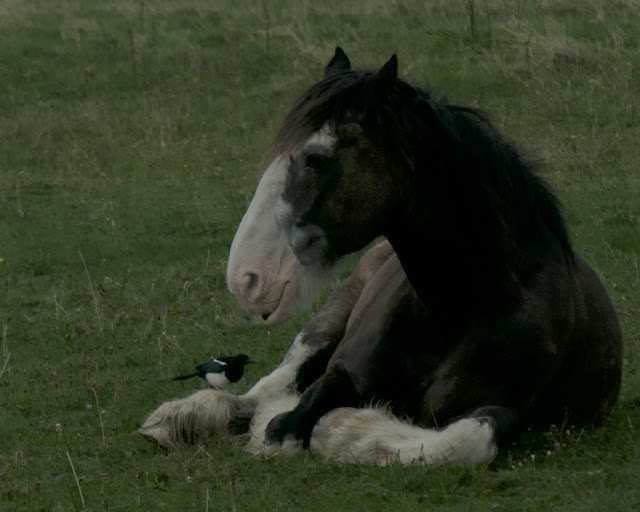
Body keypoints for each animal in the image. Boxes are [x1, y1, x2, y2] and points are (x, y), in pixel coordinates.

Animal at [139, 48, 620, 468]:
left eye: (316, 159)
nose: (246, 277)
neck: (462, 308)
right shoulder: (341, 371)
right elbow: (287, 418)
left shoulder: (509, 409)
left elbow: (462, 442)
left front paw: (349, 430)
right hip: (325, 322)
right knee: (261, 389)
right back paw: (175, 421)